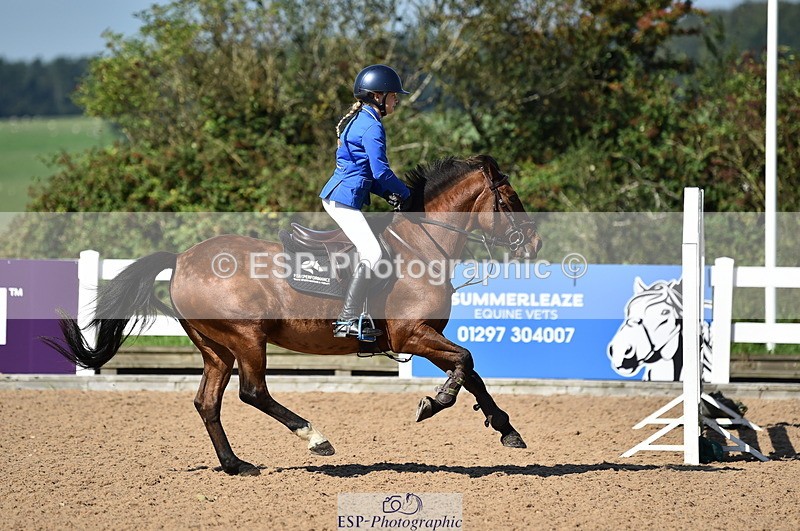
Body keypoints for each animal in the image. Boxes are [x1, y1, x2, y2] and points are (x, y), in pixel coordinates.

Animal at [45, 154, 543, 476]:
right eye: (509, 197)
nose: (535, 244)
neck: (422, 244)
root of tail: (183, 258)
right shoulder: (412, 336)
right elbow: (466, 363)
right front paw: (434, 402)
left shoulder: (426, 338)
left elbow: (471, 371)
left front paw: (506, 430)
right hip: (247, 338)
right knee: (252, 392)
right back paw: (315, 438)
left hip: (216, 348)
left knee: (209, 402)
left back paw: (236, 465)